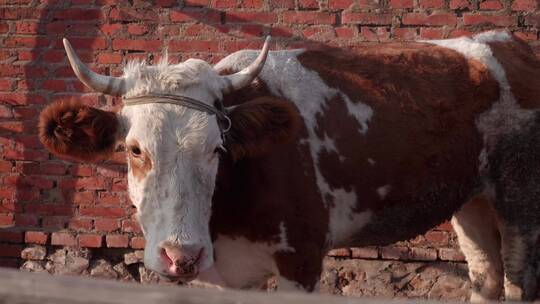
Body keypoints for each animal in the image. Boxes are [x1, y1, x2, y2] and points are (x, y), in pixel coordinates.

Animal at [39, 29, 540, 300]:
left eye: (216, 149)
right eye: (134, 149)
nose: (182, 255)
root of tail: (502, 40)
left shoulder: (300, 261)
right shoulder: (223, 277)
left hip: (519, 192)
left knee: (518, 277)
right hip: (471, 199)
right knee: (485, 272)